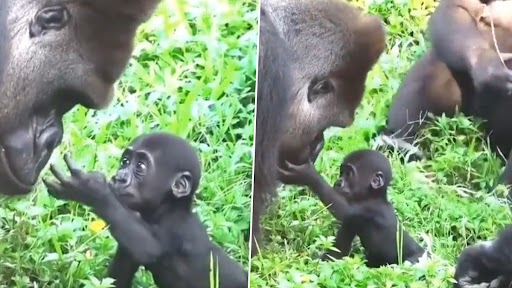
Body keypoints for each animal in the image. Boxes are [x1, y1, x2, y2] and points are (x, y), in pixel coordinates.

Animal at [43, 133, 247, 288]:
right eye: (125, 162)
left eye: (140, 166)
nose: (119, 177)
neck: (167, 209)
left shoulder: (175, 227)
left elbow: (150, 248)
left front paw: (89, 188)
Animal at [280, 150, 424, 266]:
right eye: (341, 172)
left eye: (348, 174)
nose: (338, 182)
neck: (373, 196)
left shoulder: (363, 212)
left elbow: (344, 215)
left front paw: (307, 174)